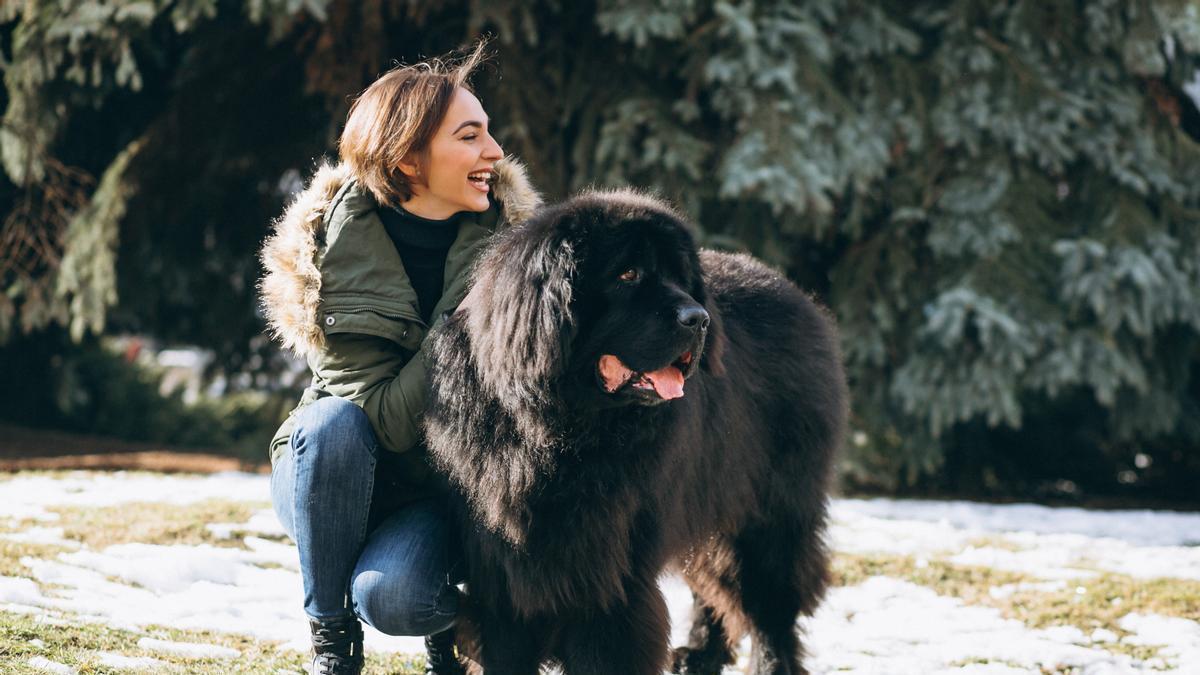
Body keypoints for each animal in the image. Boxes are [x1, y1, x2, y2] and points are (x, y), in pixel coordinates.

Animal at [427, 189, 849, 672]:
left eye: (680, 277)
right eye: (628, 274)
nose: (698, 318)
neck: (560, 433)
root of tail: (796, 294)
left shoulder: (613, 581)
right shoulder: (502, 576)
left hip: (770, 511)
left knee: (768, 601)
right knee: (716, 579)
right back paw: (700, 654)